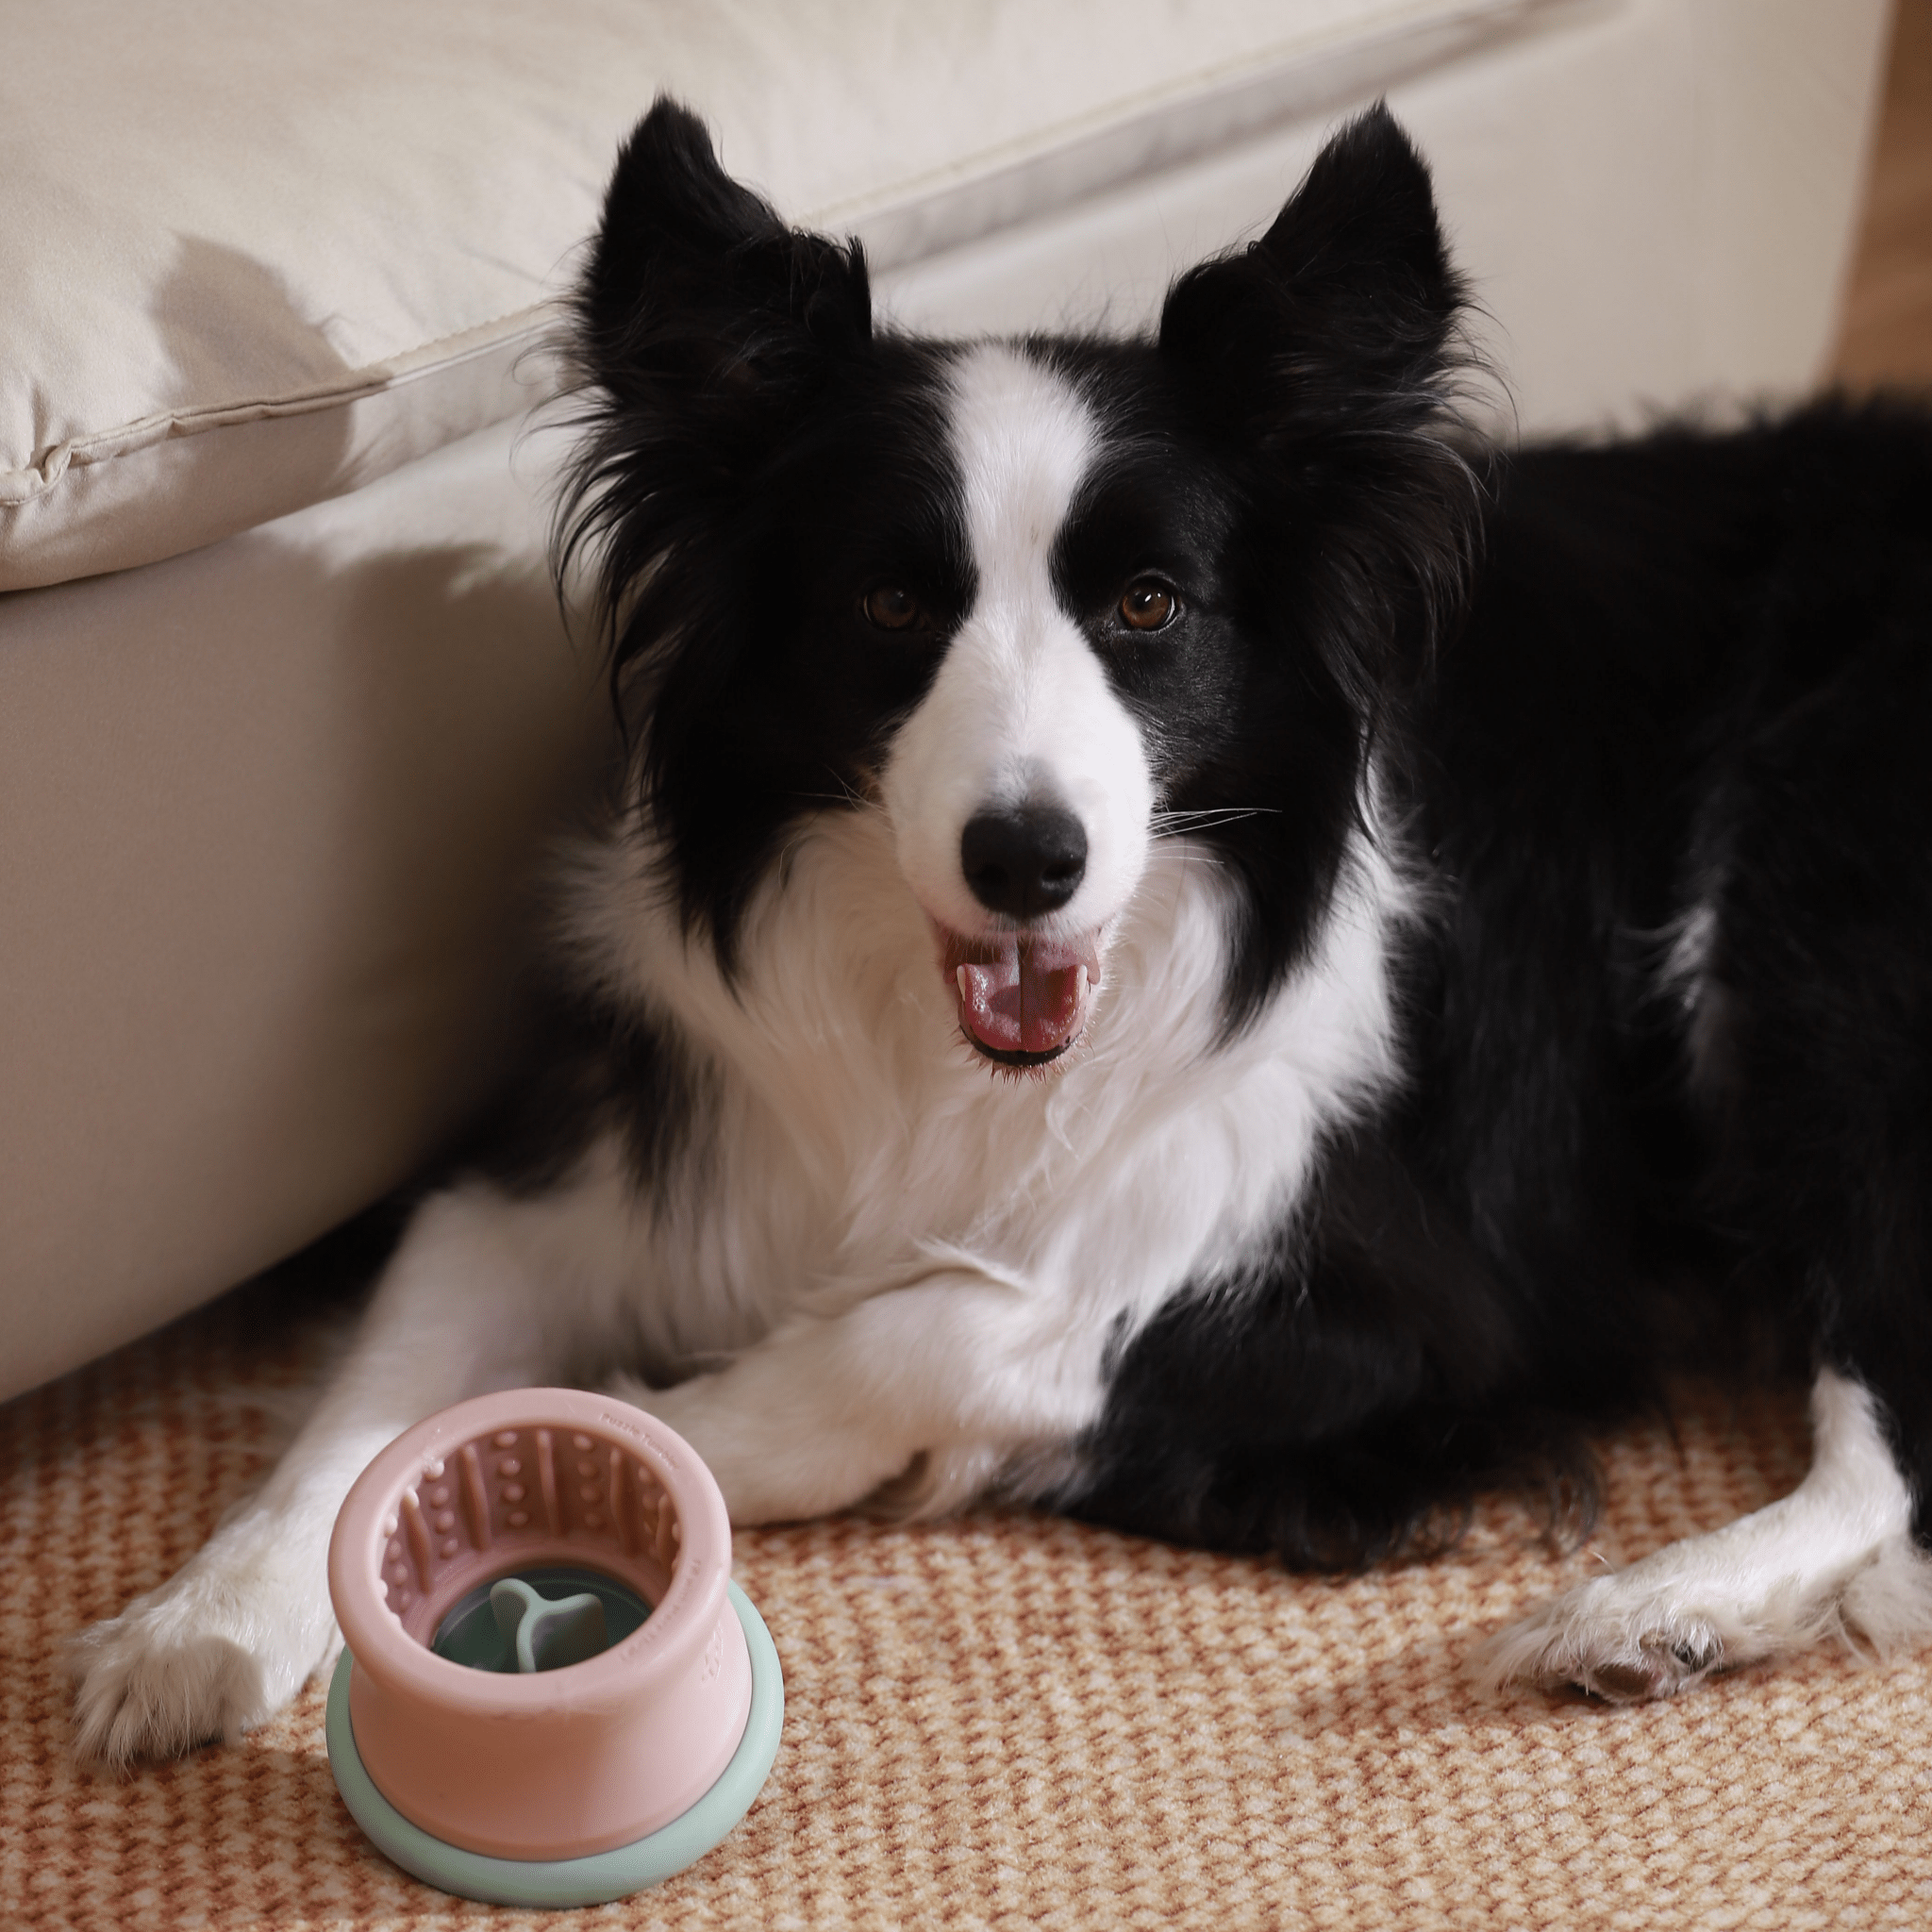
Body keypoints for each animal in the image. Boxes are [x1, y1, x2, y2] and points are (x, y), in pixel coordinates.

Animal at [78, 102, 1932, 1769]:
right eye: (893, 600)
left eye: (1150, 605)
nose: (1028, 859)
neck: (950, 1054)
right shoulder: (583, 1168)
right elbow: (377, 1397)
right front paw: (197, 1624)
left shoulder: (1422, 1304)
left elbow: (953, 1324)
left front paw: (667, 1429)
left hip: (1791, 929)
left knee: (1891, 1421)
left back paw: (1650, 1611)